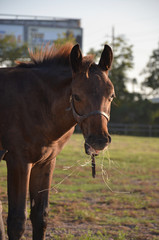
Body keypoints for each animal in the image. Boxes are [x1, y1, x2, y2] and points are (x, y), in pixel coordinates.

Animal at [0, 43, 114, 240]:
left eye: (111, 96)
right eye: (76, 96)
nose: (99, 140)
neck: (37, 103)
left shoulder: (45, 163)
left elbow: (40, 217)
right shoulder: (18, 162)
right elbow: (17, 221)